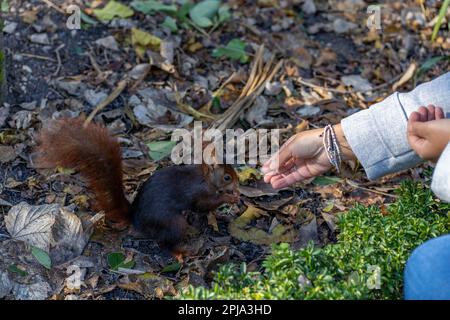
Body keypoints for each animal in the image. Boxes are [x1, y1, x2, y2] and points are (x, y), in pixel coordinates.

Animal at [34, 117, 239, 252]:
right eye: (227, 177)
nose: (238, 184)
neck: (204, 178)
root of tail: (134, 218)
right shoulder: (199, 192)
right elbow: (204, 205)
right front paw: (229, 197)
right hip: (173, 223)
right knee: (166, 243)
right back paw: (181, 252)